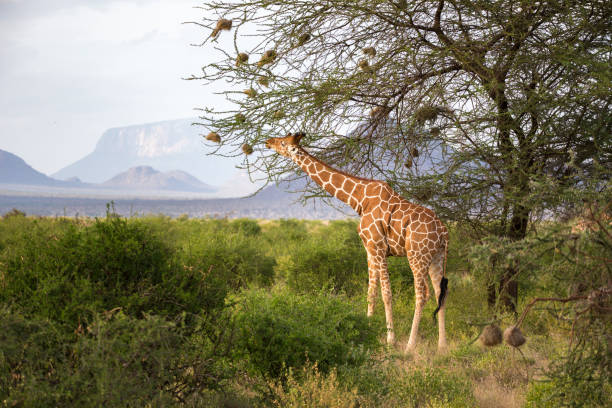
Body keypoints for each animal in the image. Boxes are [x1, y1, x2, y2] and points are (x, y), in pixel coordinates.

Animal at [264, 131, 450, 350]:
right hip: (437, 257)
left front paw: (390, 339)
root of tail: (443, 232)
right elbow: (371, 292)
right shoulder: (368, 249)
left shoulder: (378, 246)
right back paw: (442, 346)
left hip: (417, 256)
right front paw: (367, 328)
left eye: (283, 143)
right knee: (440, 293)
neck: (358, 199)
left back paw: (410, 346)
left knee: (422, 295)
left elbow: (386, 293)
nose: (268, 142)